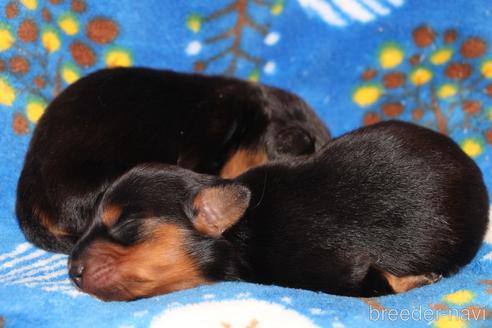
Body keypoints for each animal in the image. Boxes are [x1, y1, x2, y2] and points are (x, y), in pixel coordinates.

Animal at [68, 120, 488, 300]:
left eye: (126, 224)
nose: (71, 271)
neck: (240, 233)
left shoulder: (340, 270)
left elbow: (379, 282)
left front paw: (419, 279)